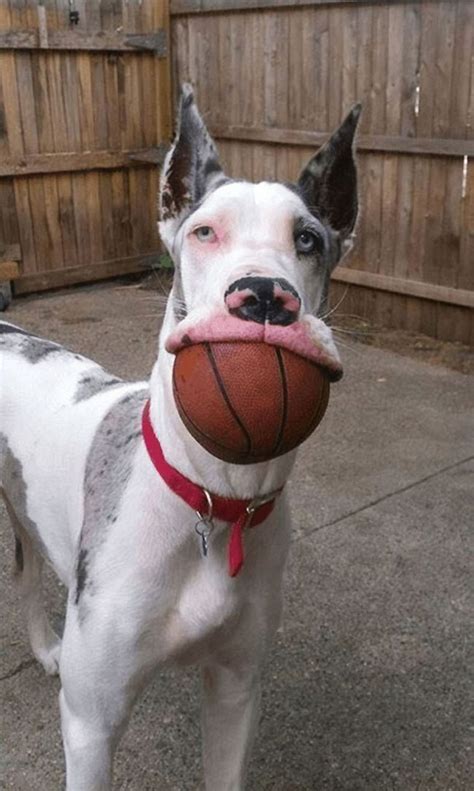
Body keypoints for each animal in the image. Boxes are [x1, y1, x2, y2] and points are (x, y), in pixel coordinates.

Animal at [0, 86, 362, 791]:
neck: (214, 497)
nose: (263, 296)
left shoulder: (237, 690)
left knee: (26, 567)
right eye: (203, 231)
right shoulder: (90, 724)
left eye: (308, 238)